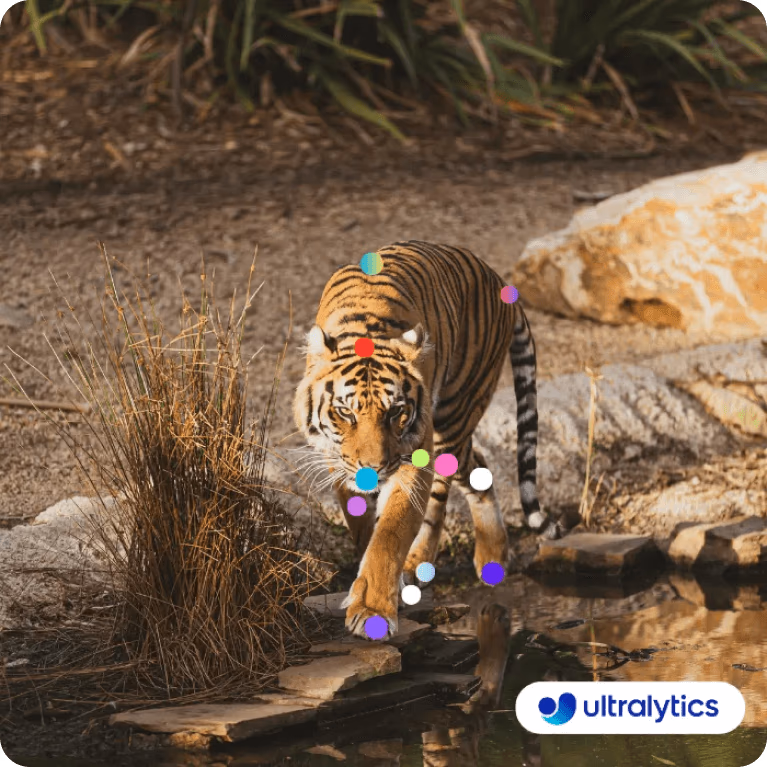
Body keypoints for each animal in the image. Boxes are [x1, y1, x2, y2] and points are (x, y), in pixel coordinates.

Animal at [293, 241, 562, 640]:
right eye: (346, 413)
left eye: (395, 413)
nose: (372, 469)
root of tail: (500, 282)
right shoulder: (336, 461)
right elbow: (363, 526)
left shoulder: (411, 456)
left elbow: (390, 533)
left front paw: (372, 610)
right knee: (474, 468)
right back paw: (473, 559)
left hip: (453, 415)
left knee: (456, 483)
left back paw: (454, 560)